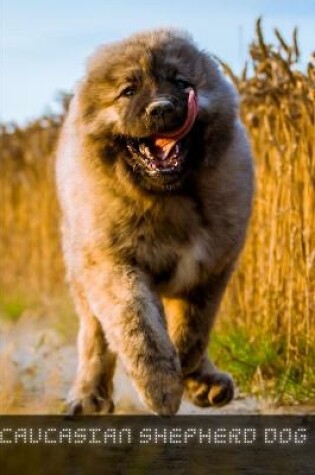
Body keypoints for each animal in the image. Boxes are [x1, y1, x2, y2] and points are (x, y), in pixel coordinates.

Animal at [56, 28, 254, 416]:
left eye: (180, 82)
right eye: (128, 91)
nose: (161, 108)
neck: (169, 199)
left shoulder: (212, 267)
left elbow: (192, 330)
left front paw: (189, 375)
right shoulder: (114, 265)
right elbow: (140, 330)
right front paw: (162, 387)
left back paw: (207, 381)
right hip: (82, 269)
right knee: (94, 337)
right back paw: (88, 395)